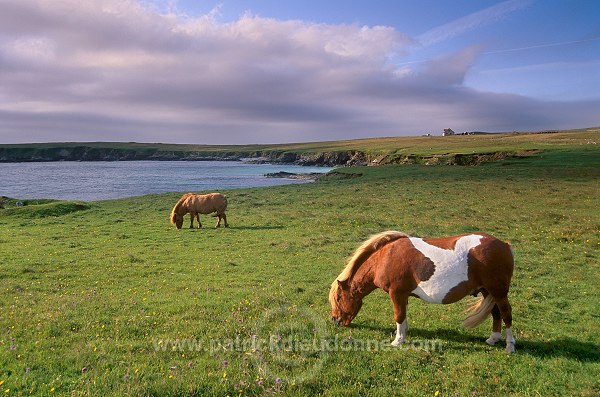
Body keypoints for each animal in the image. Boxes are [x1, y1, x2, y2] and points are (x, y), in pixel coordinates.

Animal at [328, 230, 516, 352]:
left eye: (338, 298)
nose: (335, 320)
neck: (384, 257)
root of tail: (504, 245)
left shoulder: (396, 294)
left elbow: (399, 316)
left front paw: (397, 341)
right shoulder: (403, 295)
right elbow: (404, 317)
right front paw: (403, 335)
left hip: (498, 291)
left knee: (506, 314)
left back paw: (510, 345)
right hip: (488, 291)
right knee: (496, 313)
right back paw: (493, 339)